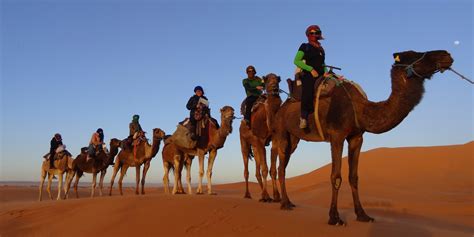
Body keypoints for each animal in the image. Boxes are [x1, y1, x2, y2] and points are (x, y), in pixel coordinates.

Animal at [239, 72, 284, 202]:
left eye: (278, 80)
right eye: (267, 80)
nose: (274, 88)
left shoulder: (274, 140)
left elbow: (272, 170)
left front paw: (276, 196)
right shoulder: (260, 140)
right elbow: (265, 169)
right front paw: (268, 196)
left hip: (254, 147)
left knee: (257, 171)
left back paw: (264, 195)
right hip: (244, 141)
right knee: (246, 170)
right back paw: (248, 194)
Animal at [270, 49, 452, 225]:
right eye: (414, 55)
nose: (446, 55)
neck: (359, 108)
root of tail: (282, 107)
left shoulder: (356, 137)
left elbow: (354, 177)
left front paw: (363, 215)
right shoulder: (337, 135)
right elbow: (336, 176)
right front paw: (334, 218)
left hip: (294, 138)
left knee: (284, 164)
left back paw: (289, 201)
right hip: (282, 130)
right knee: (281, 167)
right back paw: (284, 203)